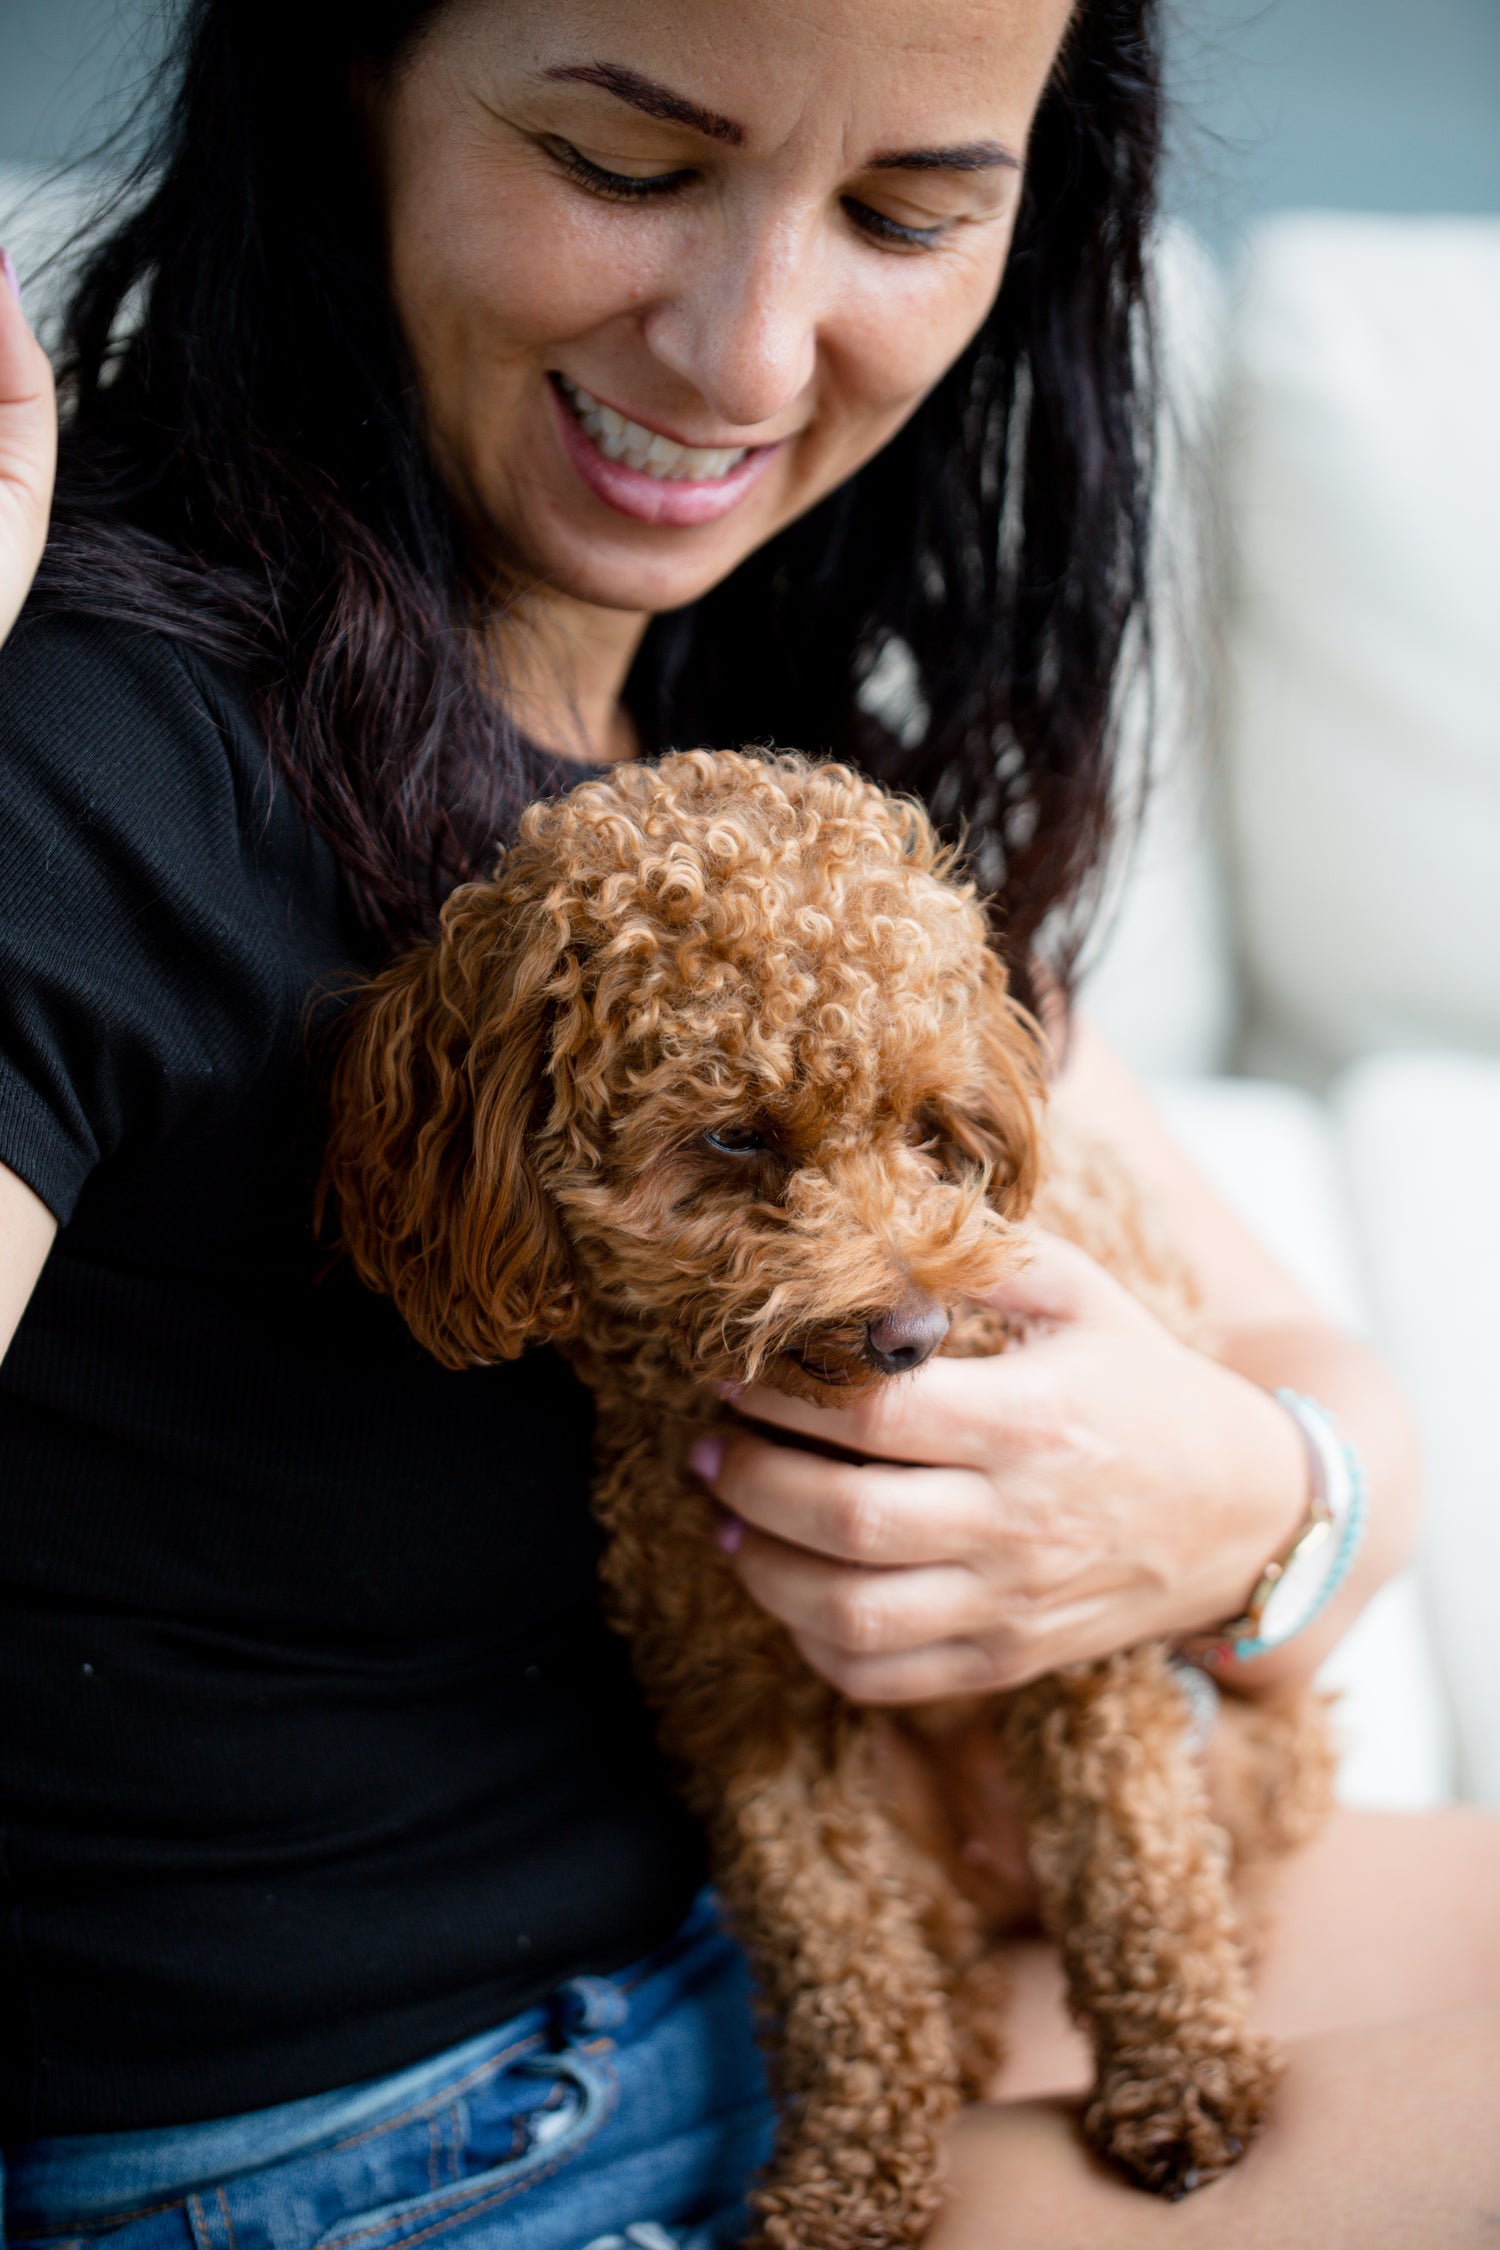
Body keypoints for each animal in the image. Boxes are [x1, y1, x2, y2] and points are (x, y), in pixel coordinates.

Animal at [323, 751, 1331, 2250]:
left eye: (930, 1127)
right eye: (734, 1136)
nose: (914, 1330)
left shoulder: (1082, 1602)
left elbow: (1133, 1852)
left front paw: (1184, 2073)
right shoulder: (742, 1703)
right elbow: (833, 1949)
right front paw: (851, 2175)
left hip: (1264, 1754)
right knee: (932, 1949)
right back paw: (959, 2036)